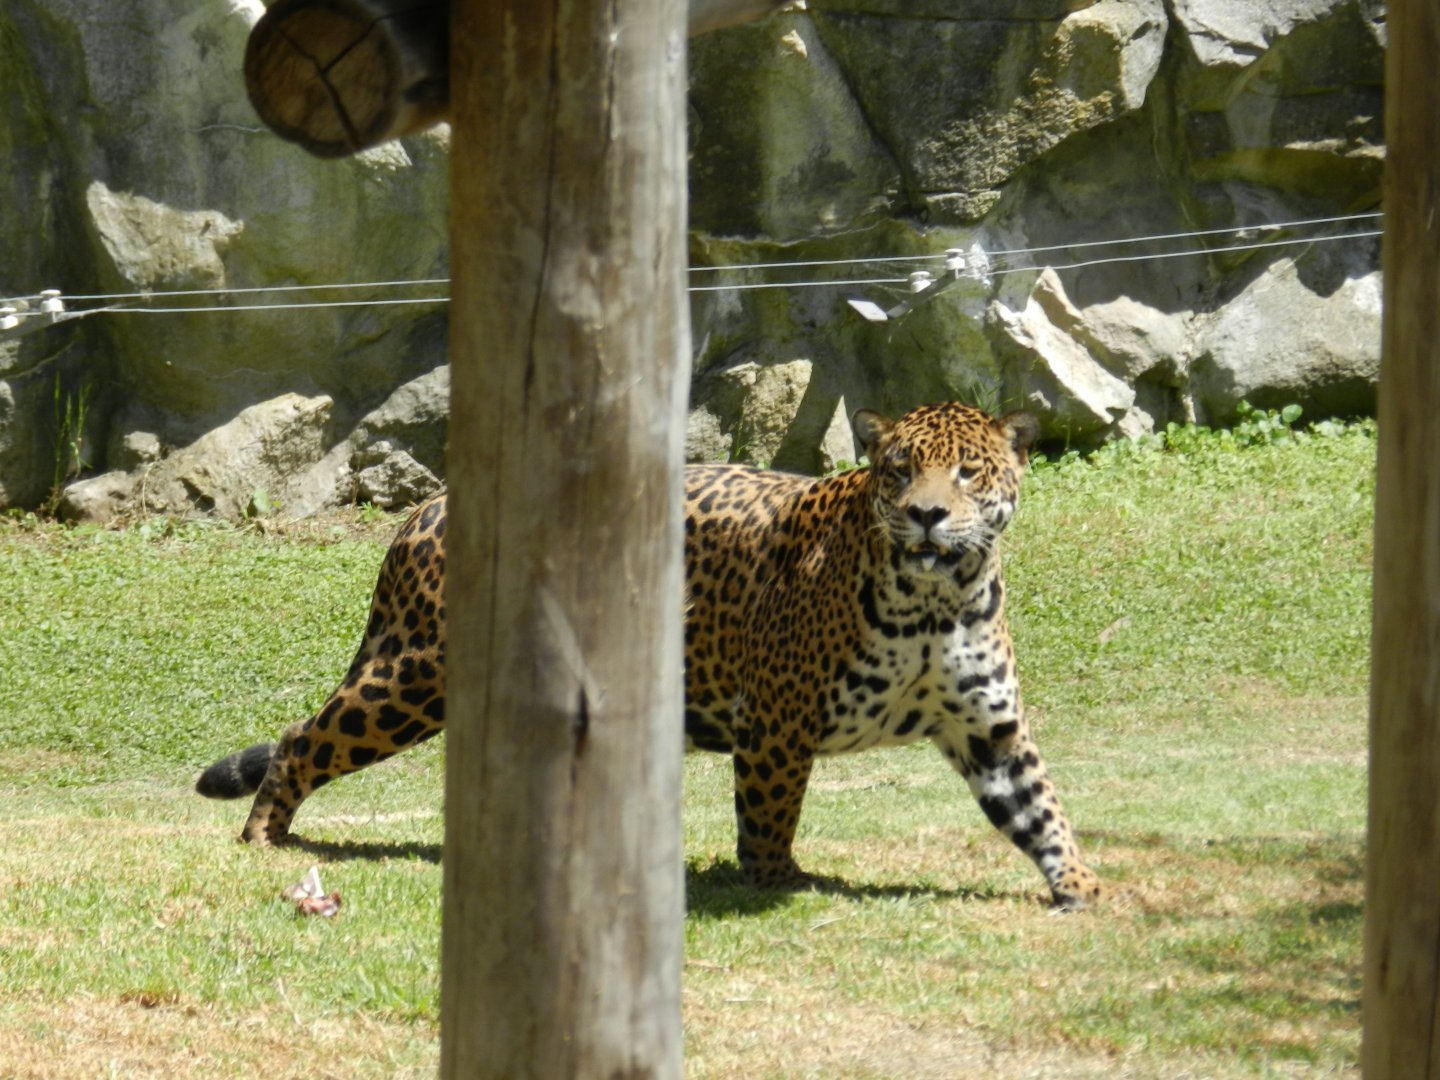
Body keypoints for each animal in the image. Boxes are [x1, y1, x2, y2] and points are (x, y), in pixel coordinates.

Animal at [196, 401, 1101, 910]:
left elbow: (1041, 808)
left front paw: (1082, 885)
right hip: (415, 677)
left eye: (970, 472)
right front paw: (775, 882)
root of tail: (426, 507)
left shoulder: (989, 729)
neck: (937, 604)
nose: (926, 515)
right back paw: (265, 838)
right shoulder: (776, 721)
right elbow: (770, 812)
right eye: (901, 470)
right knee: (302, 737)